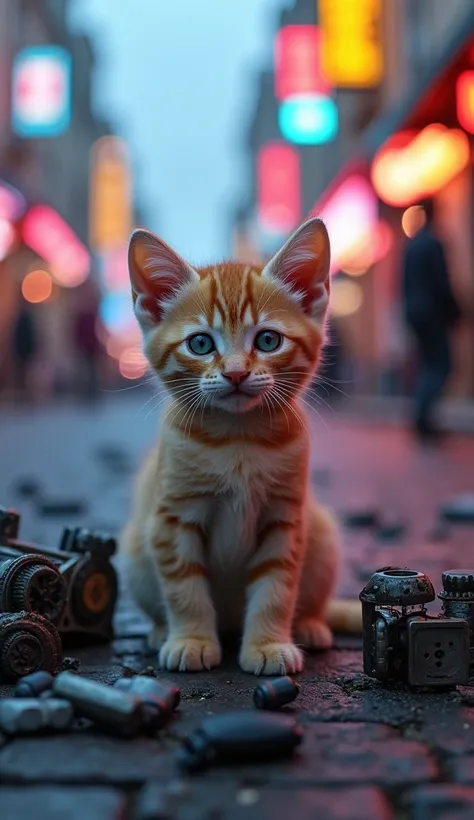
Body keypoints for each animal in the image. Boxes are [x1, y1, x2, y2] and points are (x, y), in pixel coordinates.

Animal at [120, 218, 362, 672]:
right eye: (200, 344)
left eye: (268, 341)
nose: (234, 373)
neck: (238, 438)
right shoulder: (172, 519)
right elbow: (184, 588)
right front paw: (192, 639)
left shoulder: (285, 519)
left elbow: (276, 588)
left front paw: (268, 644)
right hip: (133, 552)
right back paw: (162, 631)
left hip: (320, 532)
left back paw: (309, 625)